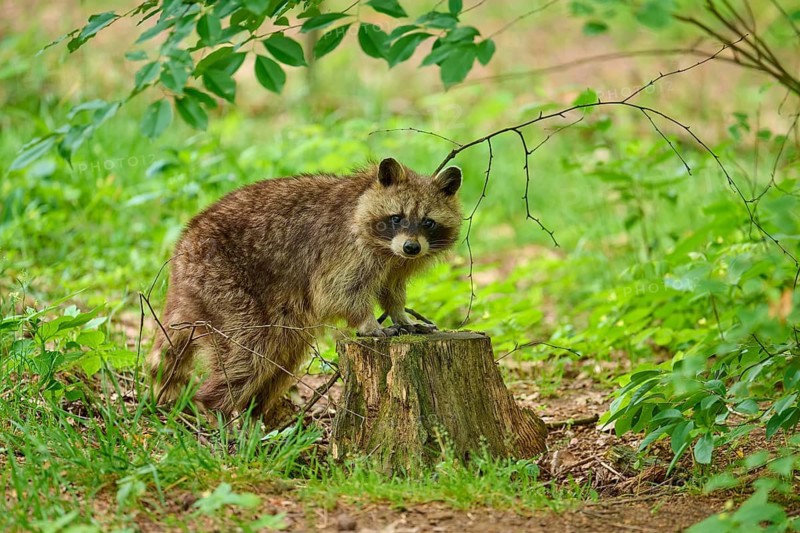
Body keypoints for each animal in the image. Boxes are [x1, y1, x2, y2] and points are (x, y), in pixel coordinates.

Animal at [148, 157, 463, 419]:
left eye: (428, 222)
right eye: (397, 217)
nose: (412, 247)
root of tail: (181, 253)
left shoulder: (396, 264)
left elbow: (391, 288)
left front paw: (401, 315)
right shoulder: (343, 247)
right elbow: (337, 291)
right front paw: (368, 322)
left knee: (281, 355)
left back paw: (254, 413)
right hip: (221, 280)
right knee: (248, 352)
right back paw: (214, 407)